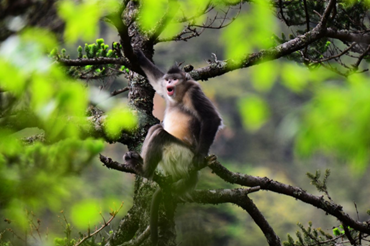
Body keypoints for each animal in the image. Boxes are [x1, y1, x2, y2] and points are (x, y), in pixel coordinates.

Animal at [125, 49, 221, 244]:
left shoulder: (194, 91)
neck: (179, 96)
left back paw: (144, 170)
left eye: (174, 79)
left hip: (181, 156)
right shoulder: (165, 91)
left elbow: (212, 118)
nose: (169, 83)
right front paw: (138, 55)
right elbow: (156, 81)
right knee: (154, 128)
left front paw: (201, 156)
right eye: (168, 80)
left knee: (159, 134)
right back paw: (138, 160)